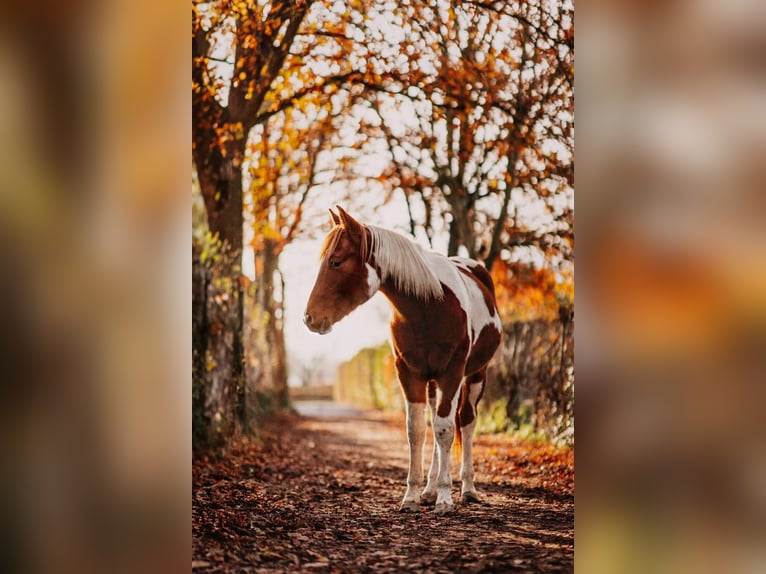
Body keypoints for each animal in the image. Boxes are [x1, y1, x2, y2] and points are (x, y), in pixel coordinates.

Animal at [304, 206, 502, 514]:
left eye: (336, 262)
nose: (310, 317)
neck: (429, 306)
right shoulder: (409, 374)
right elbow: (417, 430)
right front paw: (412, 496)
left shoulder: (452, 373)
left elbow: (446, 430)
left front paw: (445, 499)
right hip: (432, 382)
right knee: (435, 421)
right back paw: (430, 489)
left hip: (476, 375)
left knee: (466, 422)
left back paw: (467, 489)